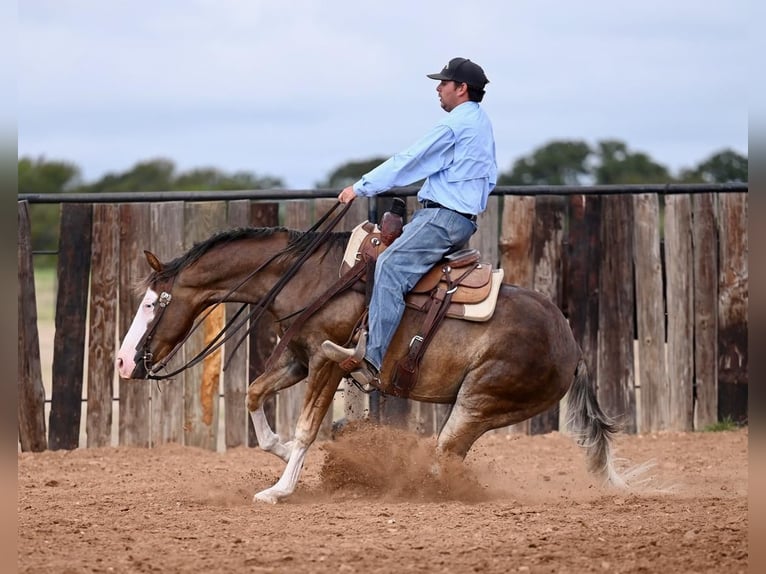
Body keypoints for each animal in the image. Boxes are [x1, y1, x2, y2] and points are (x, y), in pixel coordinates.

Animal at [115, 225, 632, 504]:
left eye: (153, 303)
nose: (122, 362)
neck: (311, 278)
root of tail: (573, 347)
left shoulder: (329, 363)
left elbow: (307, 426)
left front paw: (280, 489)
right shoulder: (299, 358)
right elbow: (255, 394)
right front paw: (283, 454)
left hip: (480, 401)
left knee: (444, 455)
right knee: (448, 458)